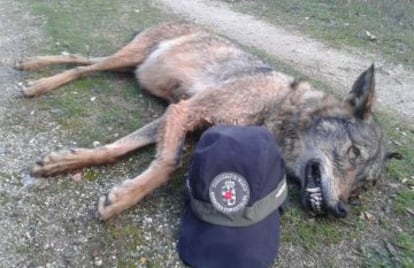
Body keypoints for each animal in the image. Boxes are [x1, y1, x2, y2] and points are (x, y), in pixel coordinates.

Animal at [16, 22, 396, 220]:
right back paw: (38, 80)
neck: (278, 108)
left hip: (130, 66)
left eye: (362, 186)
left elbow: (115, 149)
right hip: (127, 59)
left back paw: (32, 66)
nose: (341, 210)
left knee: (81, 58)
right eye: (353, 153)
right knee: (82, 67)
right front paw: (124, 199)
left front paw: (63, 162)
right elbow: (167, 163)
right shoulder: (184, 112)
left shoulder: (177, 115)